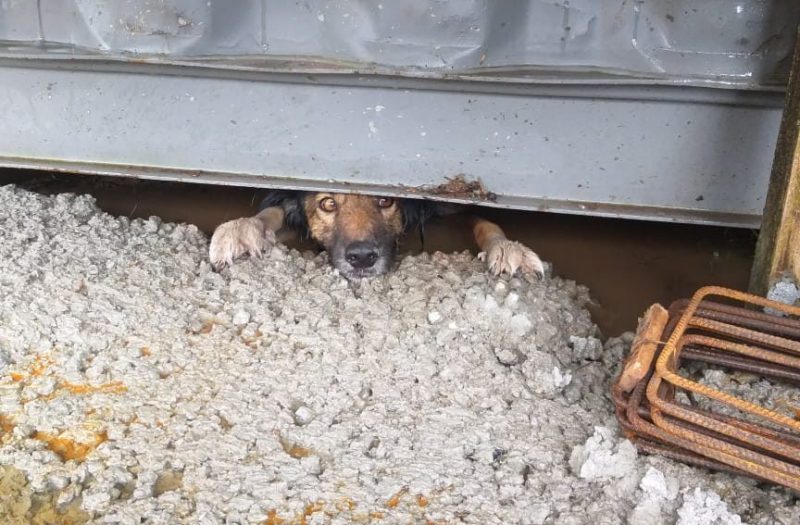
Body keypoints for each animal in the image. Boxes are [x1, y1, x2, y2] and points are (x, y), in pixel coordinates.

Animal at [208, 190, 544, 280]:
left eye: (385, 200)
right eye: (328, 203)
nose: (361, 258)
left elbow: (485, 222)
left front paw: (506, 247)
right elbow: (273, 213)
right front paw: (241, 229)